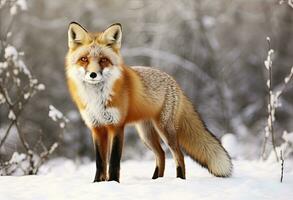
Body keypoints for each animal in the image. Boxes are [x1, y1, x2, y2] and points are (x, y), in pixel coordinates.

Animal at [65, 22, 232, 183]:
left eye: (103, 60)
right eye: (84, 59)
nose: (93, 74)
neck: (97, 98)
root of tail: (175, 82)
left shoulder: (116, 126)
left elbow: (113, 161)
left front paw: (113, 183)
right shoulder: (97, 127)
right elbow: (100, 162)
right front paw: (98, 183)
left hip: (165, 130)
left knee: (178, 155)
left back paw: (179, 179)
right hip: (146, 134)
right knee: (161, 154)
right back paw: (156, 180)